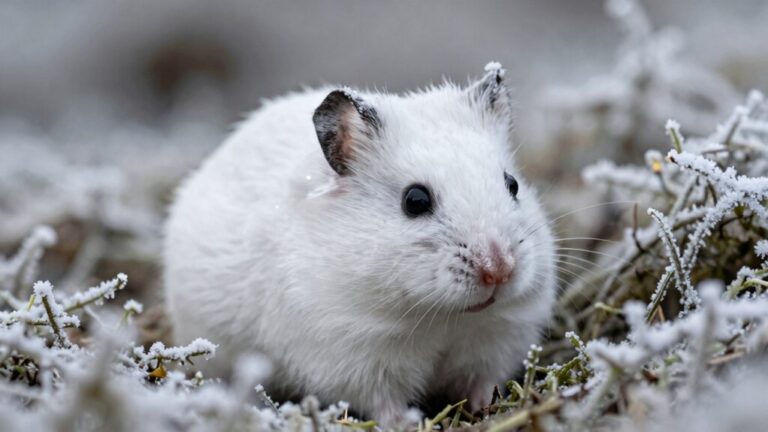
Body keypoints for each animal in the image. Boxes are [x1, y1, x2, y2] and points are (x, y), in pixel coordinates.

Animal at [163, 62, 556, 426]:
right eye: (415, 200)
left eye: (512, 185)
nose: (499, 270)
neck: (444, 318)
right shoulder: (354, 358)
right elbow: (385, 404)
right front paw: (406, 424)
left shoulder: (497, 340)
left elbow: (483, 383)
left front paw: (488, 408)